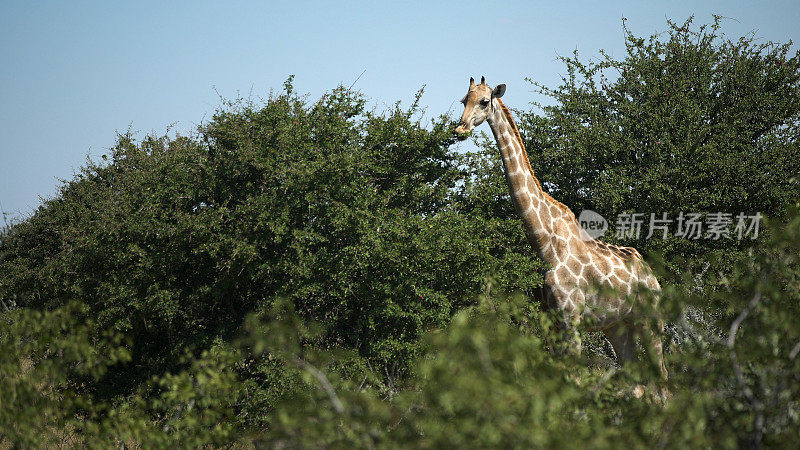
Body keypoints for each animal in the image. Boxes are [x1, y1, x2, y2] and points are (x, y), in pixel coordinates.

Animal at [456, 77, 668, 380]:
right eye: (464, 100)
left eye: (484, 102)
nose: (459, 129)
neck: (546, 245)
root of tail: (652, 275)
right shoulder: (551, 322)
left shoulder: (572, 320)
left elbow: (575, 380)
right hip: (616, 325)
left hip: (651, 321)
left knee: (662, 377)